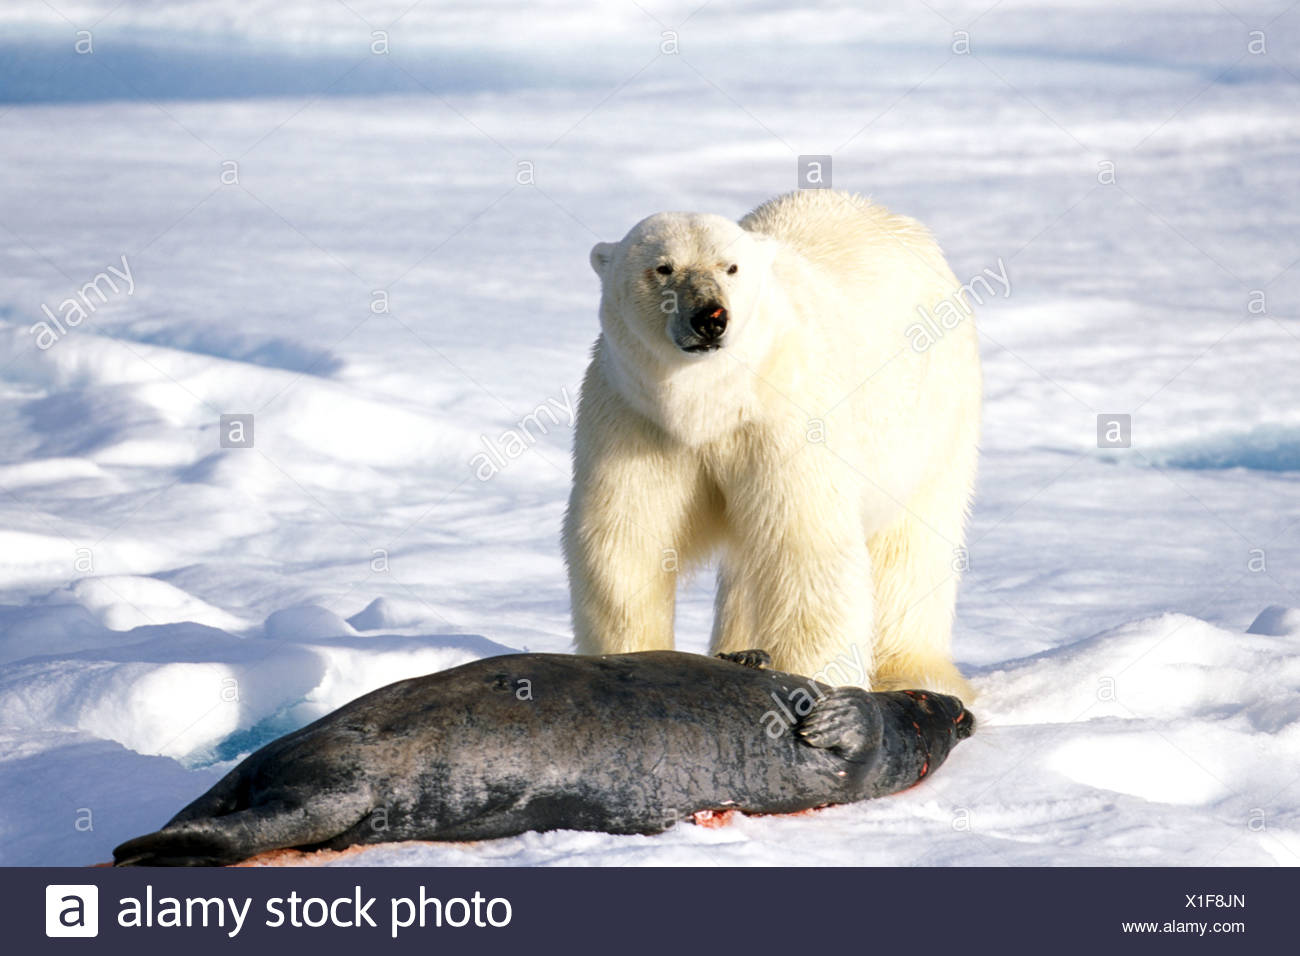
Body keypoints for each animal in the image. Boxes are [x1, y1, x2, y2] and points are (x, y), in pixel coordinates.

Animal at [564, 188, 977, 697]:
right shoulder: (634, 418)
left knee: (913, 543)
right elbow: (626, 540)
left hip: (934, 414)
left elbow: (803, 545)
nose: (710, 317)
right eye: (663, 267)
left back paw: (911, 670)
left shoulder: (785, 422)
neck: (709, 405)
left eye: (730, 267)